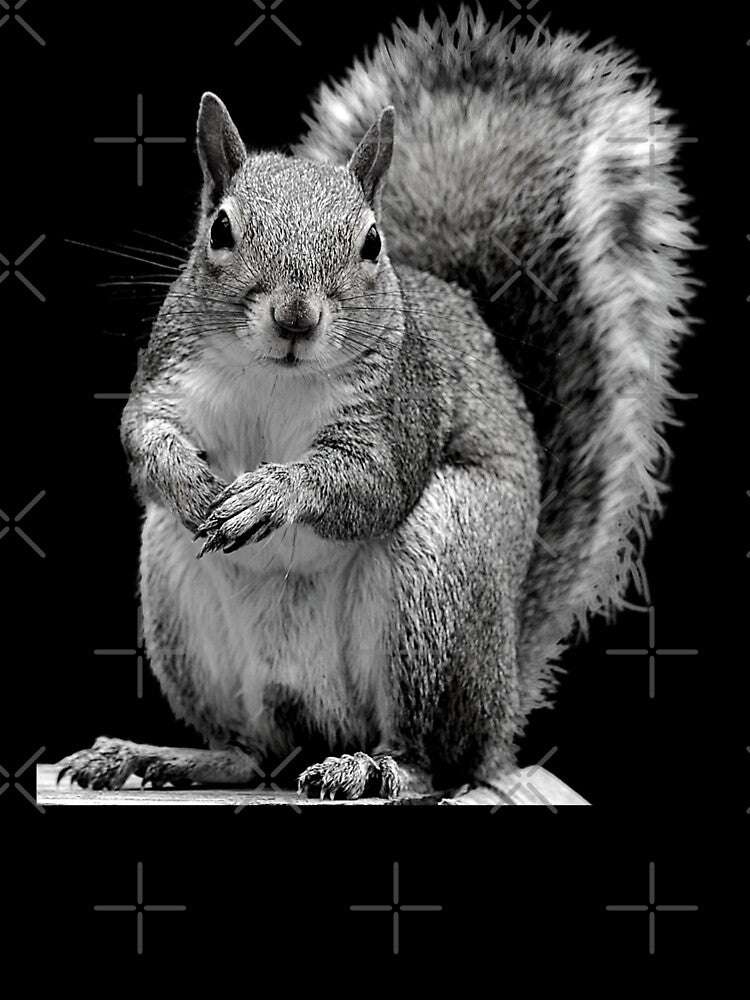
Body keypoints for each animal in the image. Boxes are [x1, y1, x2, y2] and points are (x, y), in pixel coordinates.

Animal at [58, 9, 693, 802]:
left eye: (370, 242)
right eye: (221, 230)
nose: (296, 316)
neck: (276, 375)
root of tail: (500, 706)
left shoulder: (400, 408)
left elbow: (371, 482)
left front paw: (274, 493)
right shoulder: (170, 374)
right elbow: (143, 433)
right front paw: (192, 482)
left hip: (441, 575)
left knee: (434, 758)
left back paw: (373, 767)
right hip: (176, 587)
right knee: (250, 753)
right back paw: (157, 756)